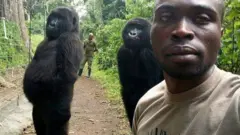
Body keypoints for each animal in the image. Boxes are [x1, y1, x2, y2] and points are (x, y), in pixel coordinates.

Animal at [23, 6, 83, 135]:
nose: (52, 24)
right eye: (53, 17)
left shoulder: (70, 39)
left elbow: (66, 77)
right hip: (37, 110)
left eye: (60, 18)